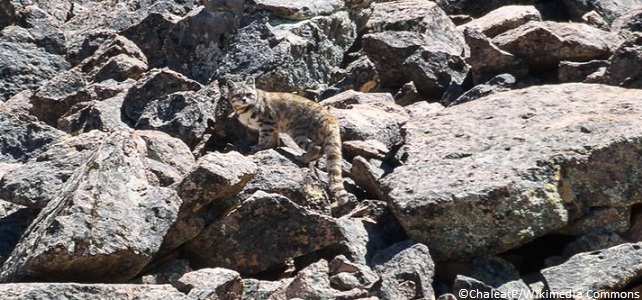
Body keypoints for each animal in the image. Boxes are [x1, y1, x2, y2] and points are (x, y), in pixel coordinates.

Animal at [222, 78, 348, 212]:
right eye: (238, 95)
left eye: (248, 94)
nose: (244, 100)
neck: (244, 110)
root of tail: (331, 119)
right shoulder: (274, 126)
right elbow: (274, 139)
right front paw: (272, 146)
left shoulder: (267, 122)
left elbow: (264, 137)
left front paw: (259, 147)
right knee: (322, 150)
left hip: (298, 131)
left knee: (316, 147)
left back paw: (302, 158)